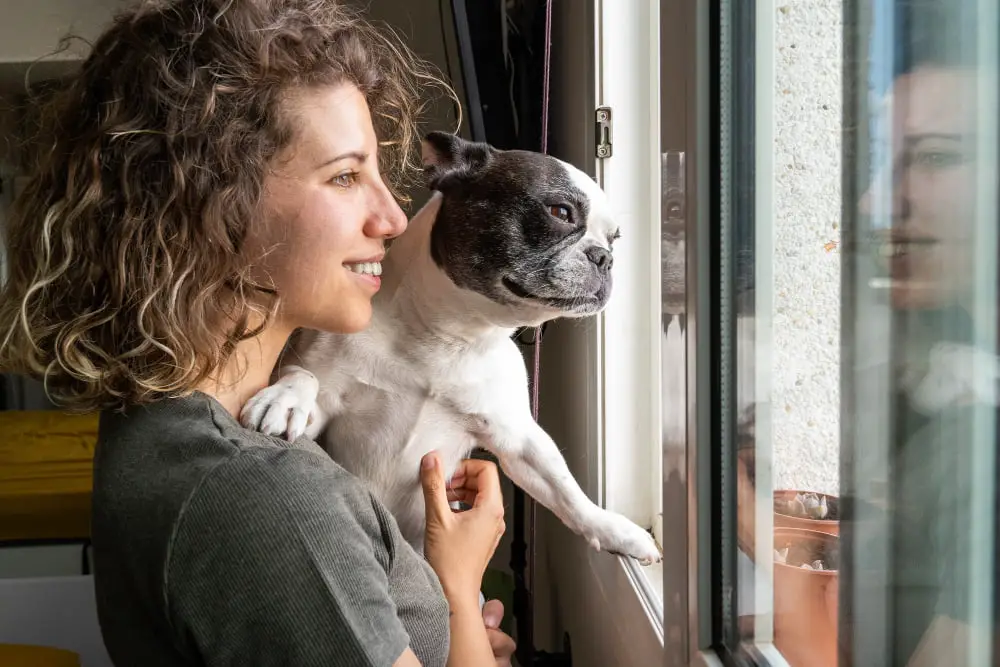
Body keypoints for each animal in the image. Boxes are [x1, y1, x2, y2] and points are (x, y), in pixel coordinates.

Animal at [241, 129, 660, 564]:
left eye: (614, 239)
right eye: (560, 212)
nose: (606, 258)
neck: (452, 335)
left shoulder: (516, 437)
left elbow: (565, 489)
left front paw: (614, 530)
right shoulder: (324, 404)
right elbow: (305, 376)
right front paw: (286, 397)